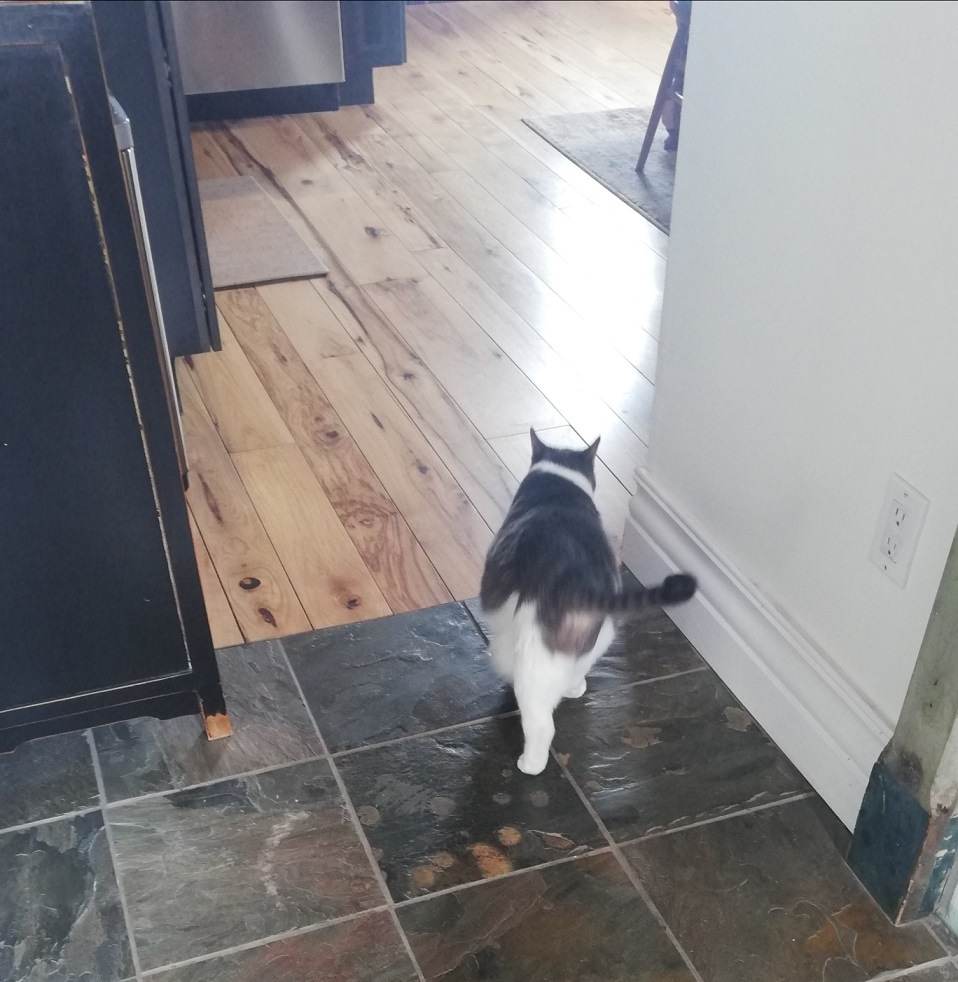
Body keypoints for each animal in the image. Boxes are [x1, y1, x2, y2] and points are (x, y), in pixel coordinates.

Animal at [480, 430, 696, 776]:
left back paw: (530, 763)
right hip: (602, 633)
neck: (559, 485)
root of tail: (578, 583)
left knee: (541, 722)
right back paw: (574, 688)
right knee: (579, 665)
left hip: (534, 656)